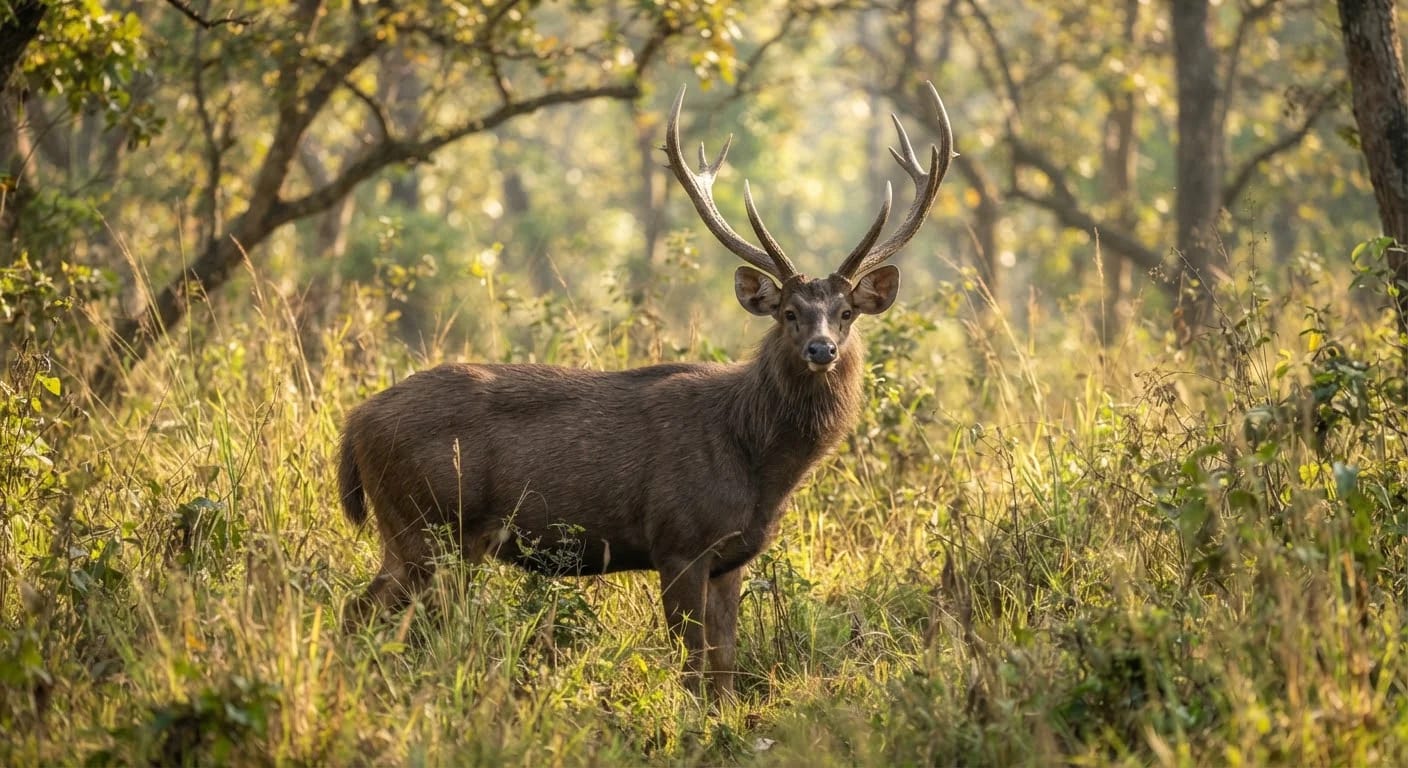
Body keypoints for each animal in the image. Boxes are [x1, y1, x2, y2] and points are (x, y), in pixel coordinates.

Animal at [338, 82, 953, 697]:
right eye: (788, 312)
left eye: (846, 312)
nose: (822, 350)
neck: (758, 464)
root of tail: (354, 423)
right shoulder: (678, 540)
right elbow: (692, 664)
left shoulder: (731, 557)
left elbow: (724, 665)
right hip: (425, 524)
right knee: (364, 613)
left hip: (422, 536)